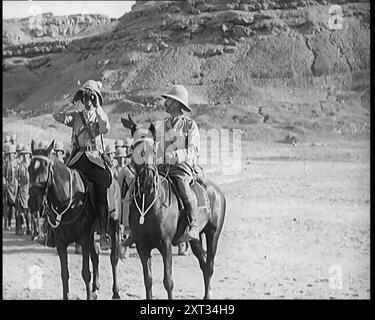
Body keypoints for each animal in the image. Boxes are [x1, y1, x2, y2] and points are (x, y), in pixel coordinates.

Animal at [28, 140, 122, 300]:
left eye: (45, 168)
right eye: (29, 169)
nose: (33, 202)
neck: (68, 200)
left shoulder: (83, 238)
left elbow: (85, 273)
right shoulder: (61, 242)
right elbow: (64, 274)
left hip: (112, 227)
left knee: (113, 258)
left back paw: (115, 292)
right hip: (92, 234)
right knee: (96, 255)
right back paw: (95, 289)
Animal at [122, 118, 226, 300]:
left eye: (154, 150)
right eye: (134, 148)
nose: (148, 180)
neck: (149, 205)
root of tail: (218, 192)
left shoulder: (166, 245)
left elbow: (168, 282)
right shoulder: (142, 246)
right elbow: (148, 280)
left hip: (213, 234)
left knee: (210, 265)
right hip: (195, 239)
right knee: (204, 264)